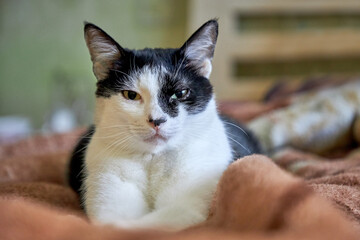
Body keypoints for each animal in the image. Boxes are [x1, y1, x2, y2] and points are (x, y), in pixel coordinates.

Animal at [68, 19, 262, 231]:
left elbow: (150, 224)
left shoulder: (189, 203)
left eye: (181, 93)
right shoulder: (106, 192)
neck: (153, 159)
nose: (157, 120)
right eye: (131, 95)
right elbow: (120, 223)